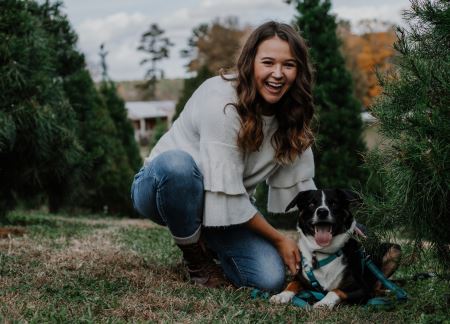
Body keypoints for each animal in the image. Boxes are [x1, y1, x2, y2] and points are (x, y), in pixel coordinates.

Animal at [270, 189, 400, 310]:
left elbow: (336, 291)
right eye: (311, 204)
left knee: (377, 285)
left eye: (334, 203)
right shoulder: (301, 278)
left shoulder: (361, 288)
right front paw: (282, 295)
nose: (322, 211)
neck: (323, 251)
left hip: (395, 250)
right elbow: (292, 283)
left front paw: (324, 302)